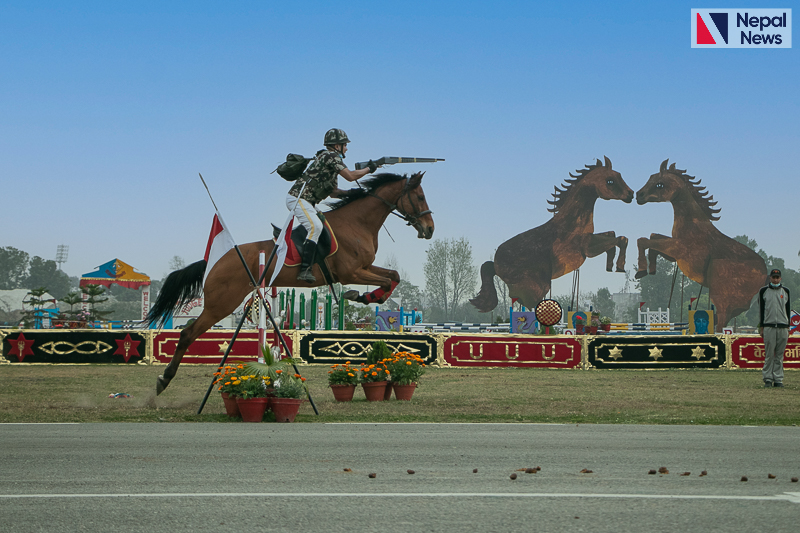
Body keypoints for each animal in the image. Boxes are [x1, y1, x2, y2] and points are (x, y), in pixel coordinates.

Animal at [144, 172, 432, 392]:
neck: (357, 223)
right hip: (222, 304)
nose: (430, 229)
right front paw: (363, 296)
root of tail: (216, 261)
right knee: (187, 333)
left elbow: (393, 277)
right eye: (420, 197)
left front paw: (369, 297)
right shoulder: (352, 272)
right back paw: (164, 379)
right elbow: (388, 280)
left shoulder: (365, 267)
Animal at [468, 156, 632, 312]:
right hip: (535, 286)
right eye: (610, 181)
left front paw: (612, 265)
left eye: (619, 175)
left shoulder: (591, 240)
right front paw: (619, 265)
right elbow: (619, 238)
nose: (631, 194)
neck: (571, 224)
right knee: (525, 303)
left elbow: (614, 235)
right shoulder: (587, 248)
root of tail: (495, 264)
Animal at [636, 158, 764, 328]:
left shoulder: (677, 249)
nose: (638, 195)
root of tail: (765, 273)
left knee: (721, 321)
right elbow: (652, 238)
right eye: (651, 177)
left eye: (659, 184)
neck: (692, 224)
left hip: (722, 295)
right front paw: (651, 269)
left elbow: (643, 241)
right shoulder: (673, 253)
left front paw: (641, 271)